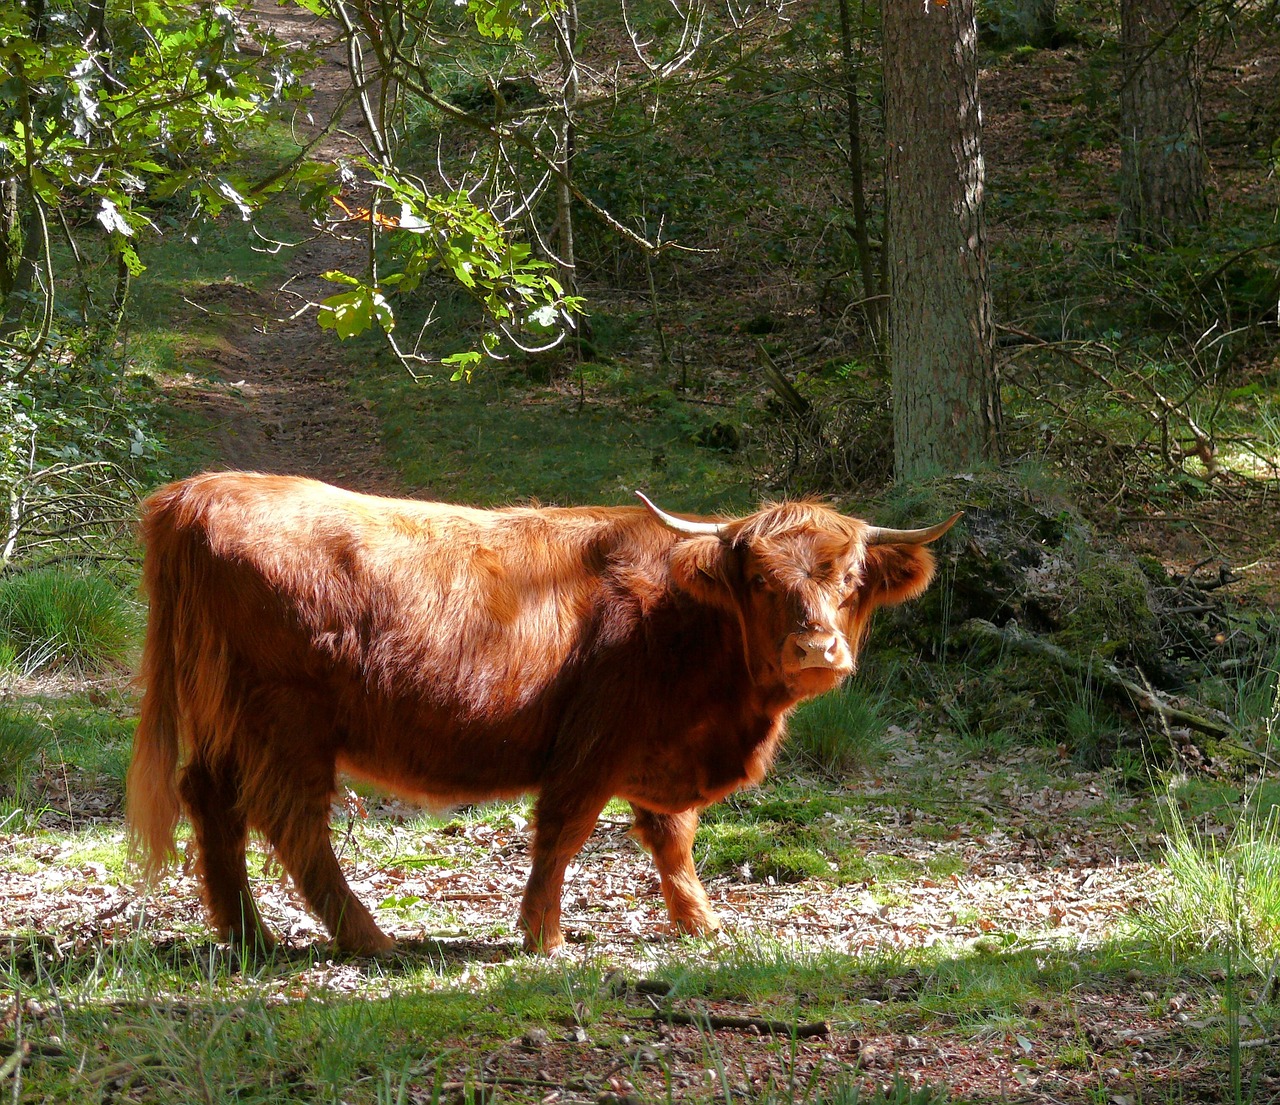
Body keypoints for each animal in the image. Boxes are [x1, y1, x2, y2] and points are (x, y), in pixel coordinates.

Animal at [124, 471, 957, 952]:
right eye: (757, 578)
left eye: (850, 576)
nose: (815, 648)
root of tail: (197, 491)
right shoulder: (593, 743)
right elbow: (563, 833)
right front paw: (543, 934)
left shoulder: (655, 750)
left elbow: (673, 837)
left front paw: (700, 922)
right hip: (286, 720)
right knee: (291, 822)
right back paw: (368, 938)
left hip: (225, 715)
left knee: (213, 801)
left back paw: (248, 935)